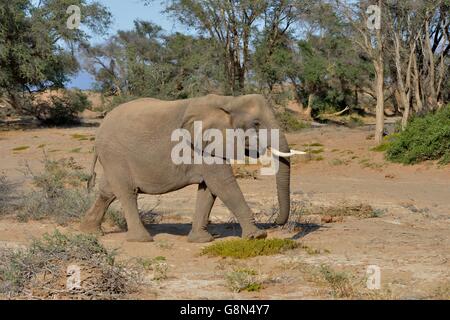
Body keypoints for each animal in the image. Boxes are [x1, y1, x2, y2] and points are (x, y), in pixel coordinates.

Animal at [79, 94, 300, 242]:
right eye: (256, 123)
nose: (276, 222)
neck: (229, 100)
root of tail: (99, 130)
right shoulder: (204, 145)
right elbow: (223, 184)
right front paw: (257, 236)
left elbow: (209, 189)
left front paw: (202, 240)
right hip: (115, 154)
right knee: (127, 192)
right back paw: (142, 239)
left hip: (113, 158)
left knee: (108, 191)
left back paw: (90, 231)